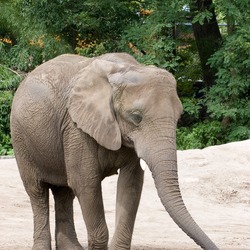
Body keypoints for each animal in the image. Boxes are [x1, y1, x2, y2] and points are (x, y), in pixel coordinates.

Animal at [10, 51, 217, 249]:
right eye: (136, 117)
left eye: (179, 116)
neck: (125, 69)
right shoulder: (76, 128)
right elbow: (85, 183)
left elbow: (130, 184)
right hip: (21, 139)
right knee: (37, 191)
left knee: (64, 192)